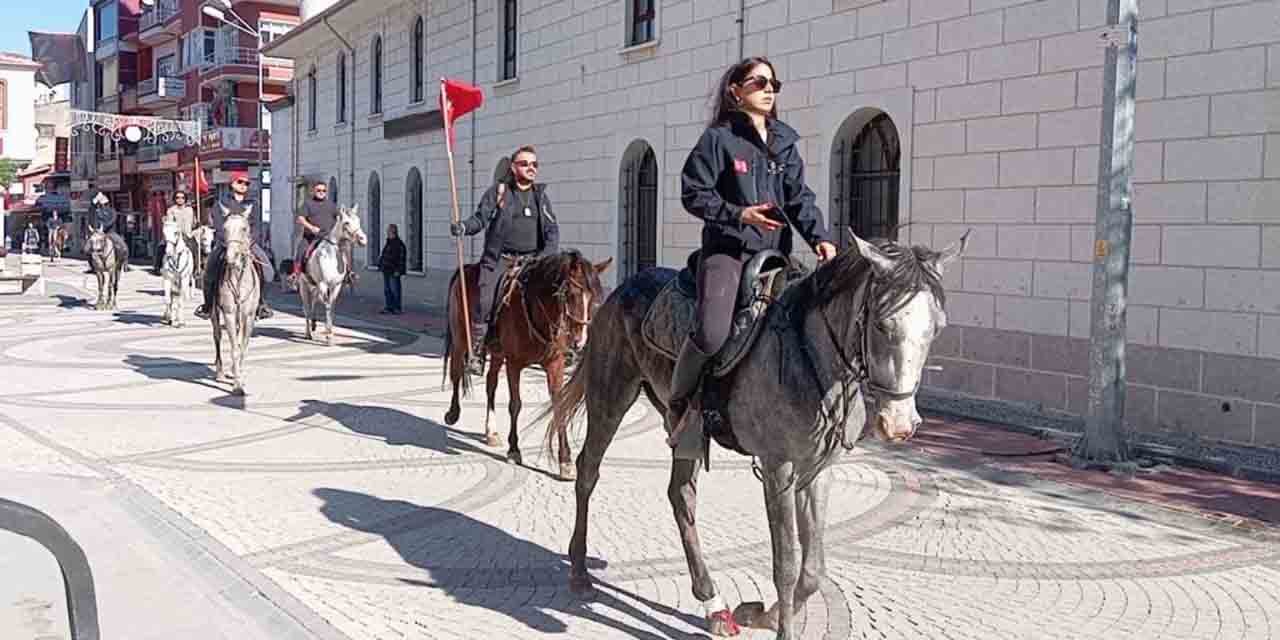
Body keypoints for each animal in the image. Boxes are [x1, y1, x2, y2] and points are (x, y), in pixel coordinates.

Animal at [211, 204, 261, 394]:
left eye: (244, 228)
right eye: (225, 228)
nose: (230, 258)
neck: (239, 277)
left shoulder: (249, 315)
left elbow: (243, 346)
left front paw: (239, 375)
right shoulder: (229, 314)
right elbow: (234, 348)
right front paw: (237, 385)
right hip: (214, 313)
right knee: (217, 336)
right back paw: (220, 372)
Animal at [295, 204, 366, 345]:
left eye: (358, 221)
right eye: (346, 222)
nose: (363, 239)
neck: (331, 255)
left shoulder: (336, 286)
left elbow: (331, 307)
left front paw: (330, 333)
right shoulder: (324, 284)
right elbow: (327, 306)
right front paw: (329, 336)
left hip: (314, 286)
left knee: (313, 302)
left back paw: (314, 324)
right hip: (304, 285)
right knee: (306, 308)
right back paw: (308, 332)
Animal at [445, 249, 614, 481]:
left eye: (595, 298)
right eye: (568, 294)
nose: (579, 342)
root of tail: (468, 267)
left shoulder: (554, 364)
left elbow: (559, 406)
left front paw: (565, 462)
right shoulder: (514, 364)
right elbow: (515, 405)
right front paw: (514, 450)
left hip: (497, 354)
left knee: (491, 384)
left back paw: (491, 431)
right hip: (460, 338)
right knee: (456, 372)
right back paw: (453, 414)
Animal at [535, 232, 962, 637]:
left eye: (937, 328)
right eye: (882, 324)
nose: (900, 425)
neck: (809, 355)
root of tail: (621, 289)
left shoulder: (818, 471)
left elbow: (814, 569)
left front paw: (763, 615)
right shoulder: (778, 470)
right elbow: (786, 564)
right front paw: (782, 628)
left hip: (683, 429)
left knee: (681, 496)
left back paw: (714, 604)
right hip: (611, 398)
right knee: (588, 472)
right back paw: (580, 572)